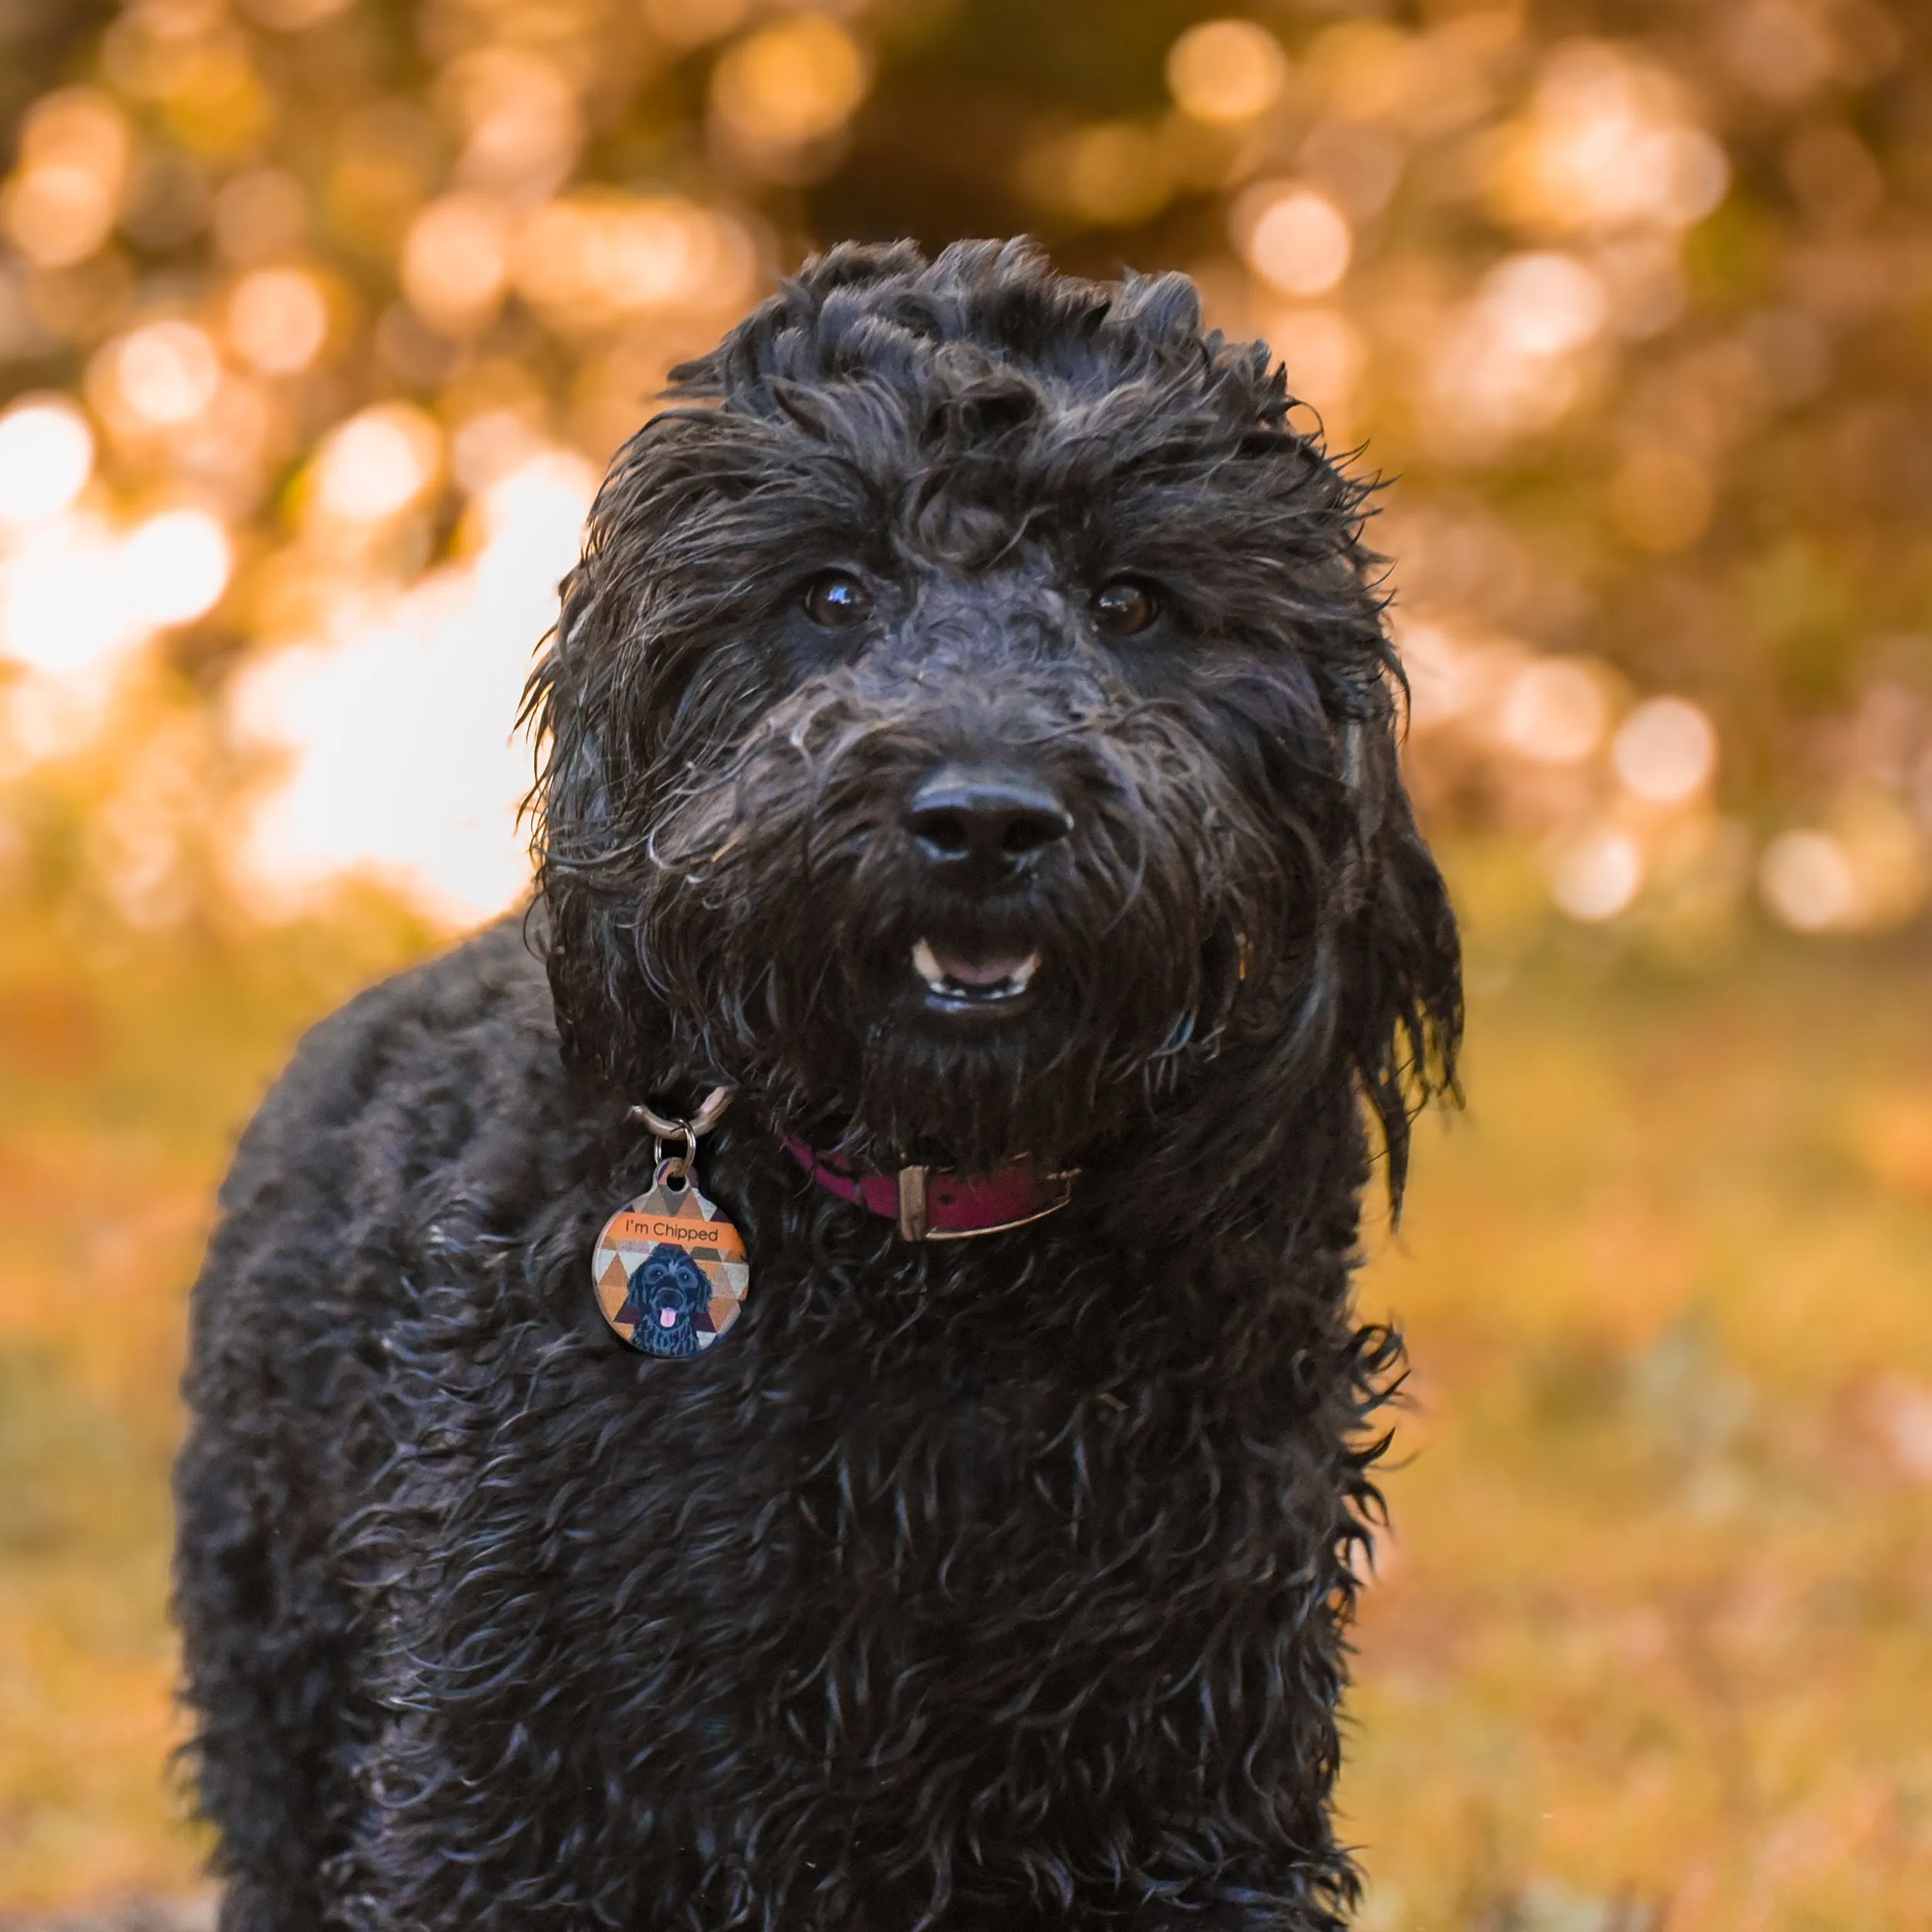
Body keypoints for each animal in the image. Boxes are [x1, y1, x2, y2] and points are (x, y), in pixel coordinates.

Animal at [174, 241, 1453, 1932]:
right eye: (831, 593)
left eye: (1131, 601)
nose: (983, 818)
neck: (927, 1267)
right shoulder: (523, 1769)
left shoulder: (1189, 1784)